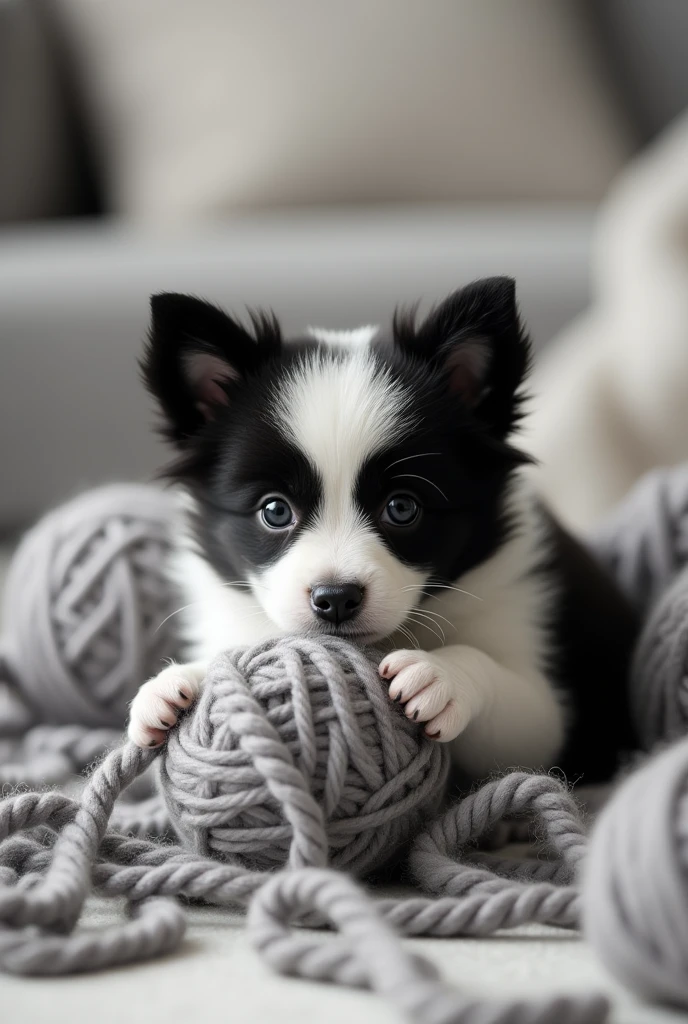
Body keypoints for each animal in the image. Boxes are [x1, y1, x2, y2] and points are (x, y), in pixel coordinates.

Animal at [127, 276, 634, 778]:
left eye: (402, 508)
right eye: (275, 511)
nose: (335, 599)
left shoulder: (539, 699)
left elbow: (516, 706)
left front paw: (442, 675)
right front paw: (177, 679)